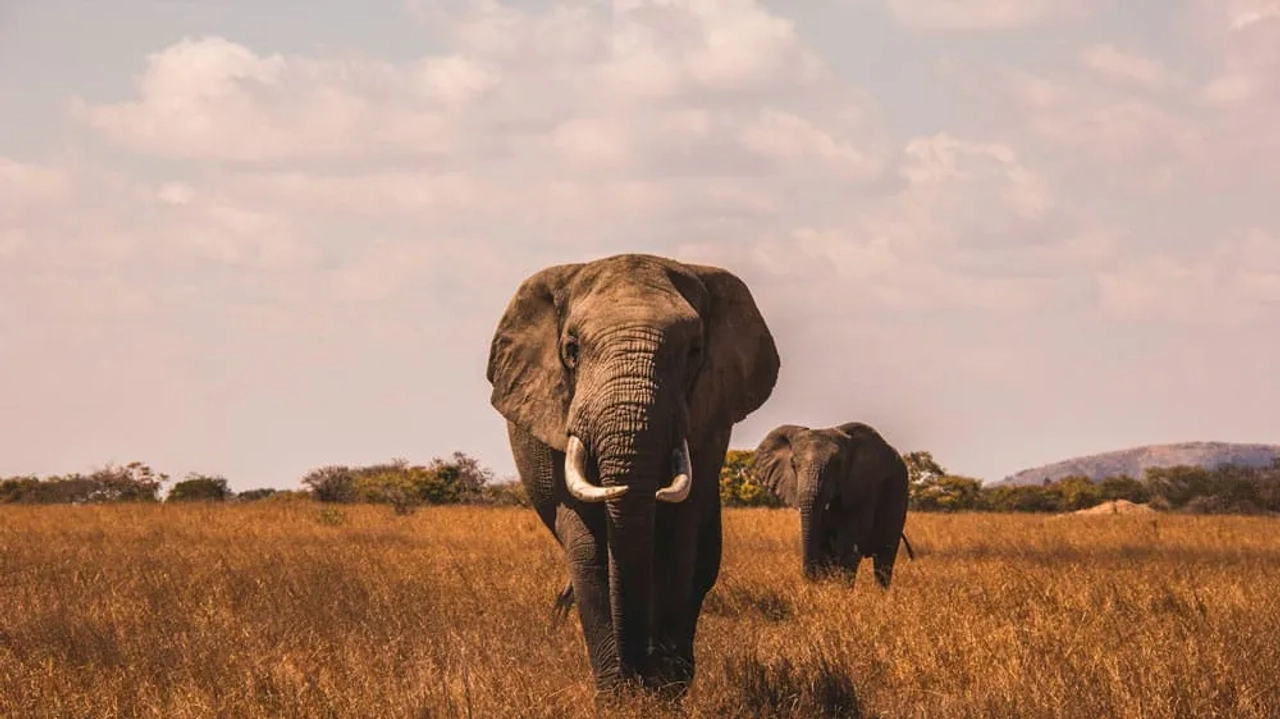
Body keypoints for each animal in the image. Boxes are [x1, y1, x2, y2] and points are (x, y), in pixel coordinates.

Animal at [485, 253, 780, 695]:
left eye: (694, 351)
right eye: (571, 349)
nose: (640, 669)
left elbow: (678, 541)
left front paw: (664, 692)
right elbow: (588, 548)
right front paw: (619, 696)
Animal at [752, 421, 912, 588]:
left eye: (837, 464)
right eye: (793, 465)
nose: (808, 580)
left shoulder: (864, 488)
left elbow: (849, 546)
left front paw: (841, 591)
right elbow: (824, 546)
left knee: (884, 559)